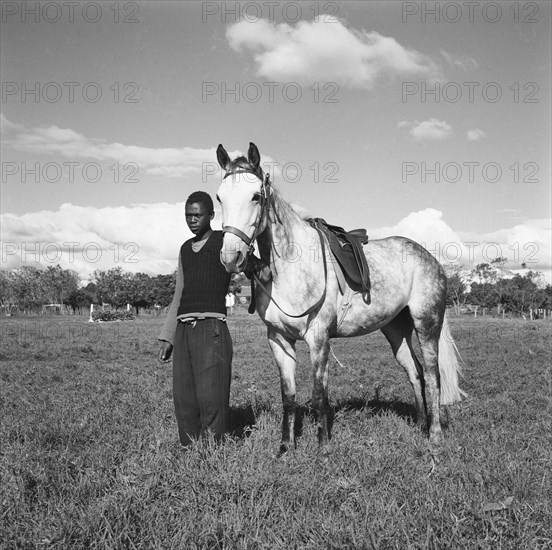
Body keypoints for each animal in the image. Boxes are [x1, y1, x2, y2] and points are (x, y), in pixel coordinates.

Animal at [213, 143, 464, 458]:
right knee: (414, 372)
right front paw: (286, 446)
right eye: (219, 197)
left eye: (255, 196)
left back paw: (435, 436)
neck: (290, 267)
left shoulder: (318, 338)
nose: (230, 257)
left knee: (431, 376)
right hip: (396, 329)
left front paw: (323, 446)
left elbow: (319, 395)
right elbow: (289, 396)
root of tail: (430, 258)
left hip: (426, 324)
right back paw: (420, 425)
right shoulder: (279, 340)